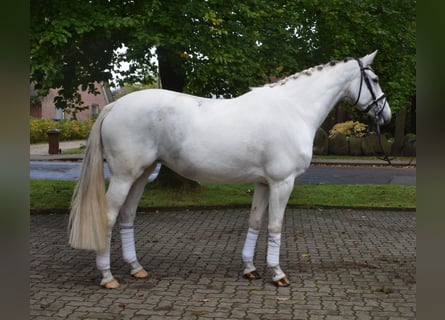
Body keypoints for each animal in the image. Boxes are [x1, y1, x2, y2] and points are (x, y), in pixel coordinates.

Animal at [68, 52, 388, 288]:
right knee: (108, 217)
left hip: (142, 174)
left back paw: (136, 268)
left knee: (127, 216)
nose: (385, 114)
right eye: (373, 78)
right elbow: (274, 226)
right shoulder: (282, 183)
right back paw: (108, 276)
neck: (293, 109)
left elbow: (255, 222)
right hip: (124, 176)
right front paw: (278, 274)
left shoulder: (263, 183)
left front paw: (250, 269)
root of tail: (114, 107)